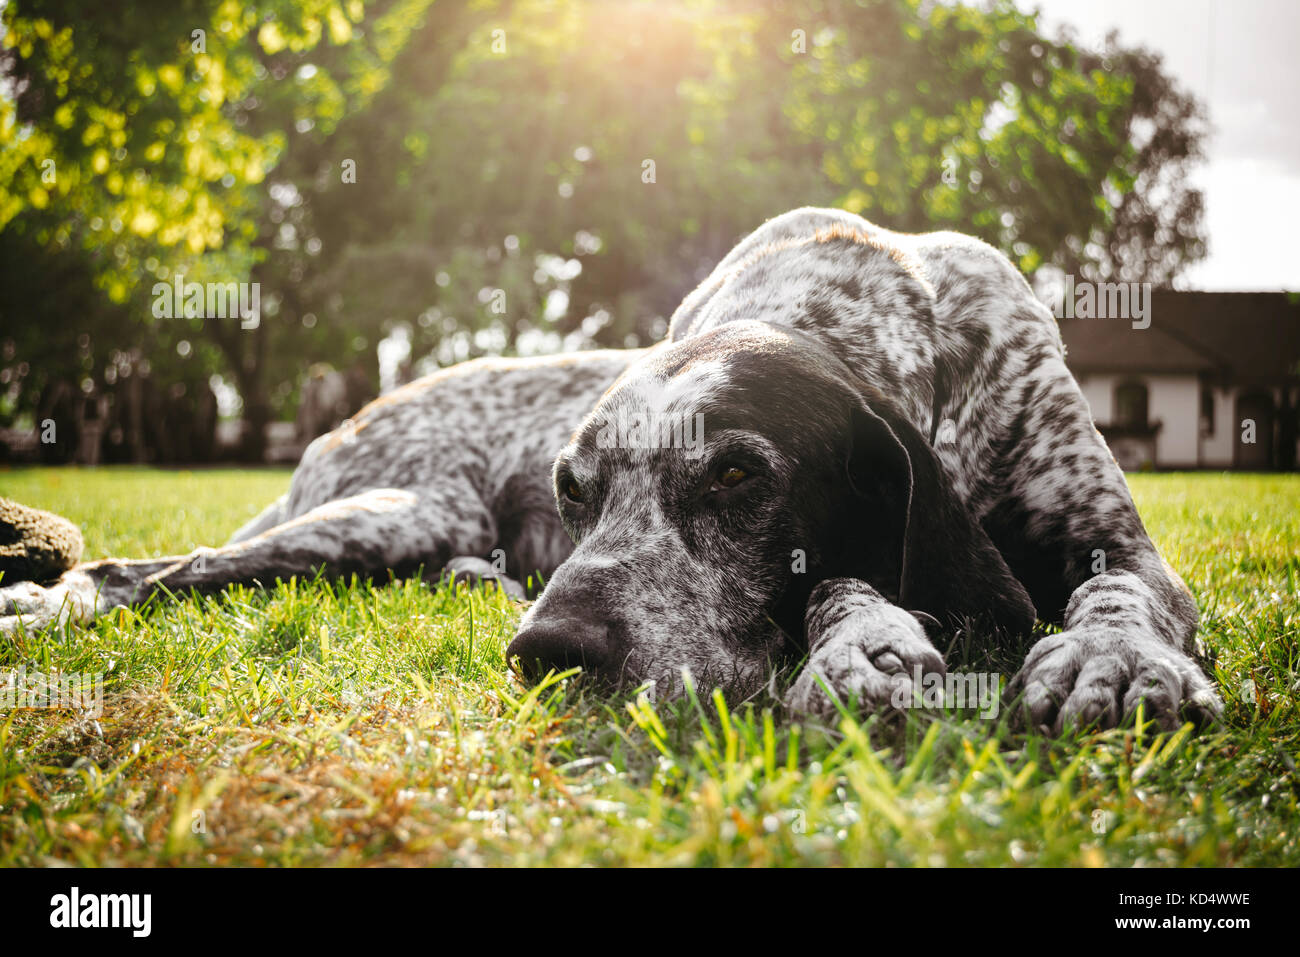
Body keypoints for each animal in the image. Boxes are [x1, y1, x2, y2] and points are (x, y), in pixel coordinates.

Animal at [0, 210, 1216, 733]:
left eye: (737, 476)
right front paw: (866, 640)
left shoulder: (1115, 538)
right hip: (389, 510)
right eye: (574, 488)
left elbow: (1115, 591)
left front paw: (1110, 662)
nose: (549, 651)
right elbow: (843, 580)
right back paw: (46, 605)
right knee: (151, 569)